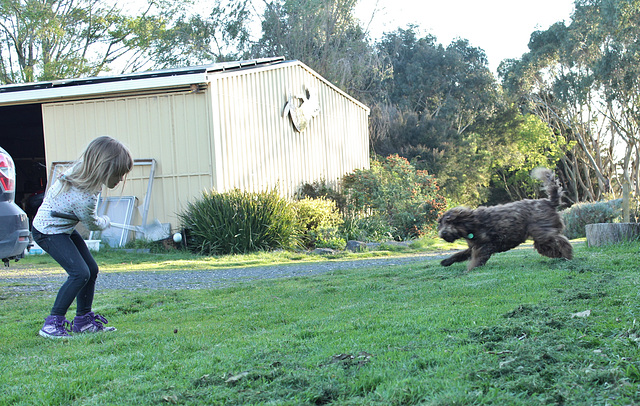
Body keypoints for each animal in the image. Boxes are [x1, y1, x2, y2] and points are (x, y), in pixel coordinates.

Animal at [438, 167, 572, 272]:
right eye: (443, 222)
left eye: (452, 222)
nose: (442, 233)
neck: (471, 225)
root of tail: (549, 202)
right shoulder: (474, 247)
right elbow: (459, 254)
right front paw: (446, 261)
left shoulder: (484, 246)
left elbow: (476, 261)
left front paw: (468, 271)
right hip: (541, 237)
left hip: (542, 234)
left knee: (562, 242)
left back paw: (567, 255)